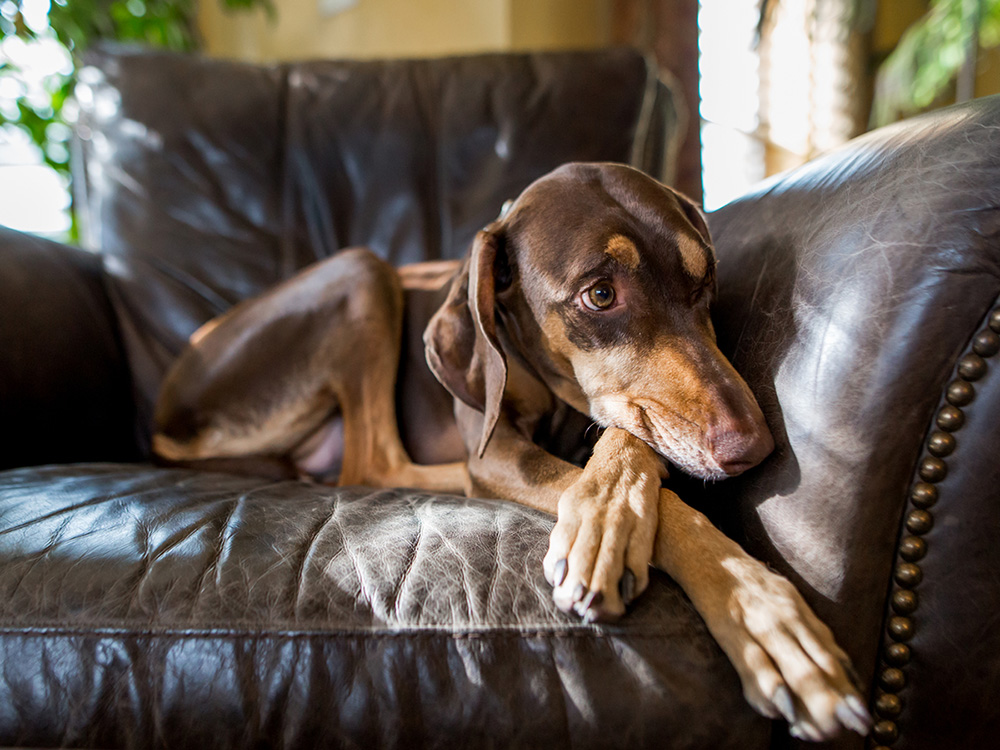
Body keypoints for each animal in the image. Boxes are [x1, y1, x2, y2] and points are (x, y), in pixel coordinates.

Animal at [152, 162, 872, 744]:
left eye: (707, 278)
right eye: (600, 295)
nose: (756, 444)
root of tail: (167, 407)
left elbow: (626, 434)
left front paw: (611, 512)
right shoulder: (495, 447)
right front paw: (754, 609)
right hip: (358, 272)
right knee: (371, 462)